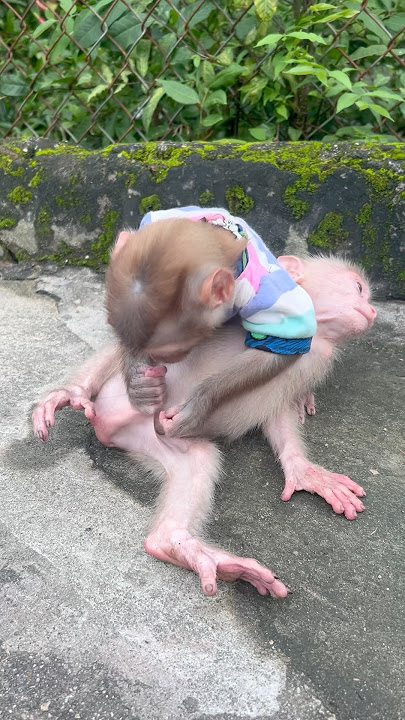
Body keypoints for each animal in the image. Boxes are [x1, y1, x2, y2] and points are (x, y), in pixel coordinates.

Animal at [32, 255, 376, 597]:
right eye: (358, 288)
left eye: (366, 294)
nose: (372, 310)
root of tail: (106, 425)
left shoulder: (316, 358)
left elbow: (277, 412)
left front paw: (304, 470)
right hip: (118, 399)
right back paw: (77, 391)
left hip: (147, 436)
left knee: (197, 461)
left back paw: (179, 545)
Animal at [105, 207, 317, 433]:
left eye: (174, 350)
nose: (159, 359)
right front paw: (141, 386)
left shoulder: (263, 291)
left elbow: (280, 344)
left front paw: (198, 403)